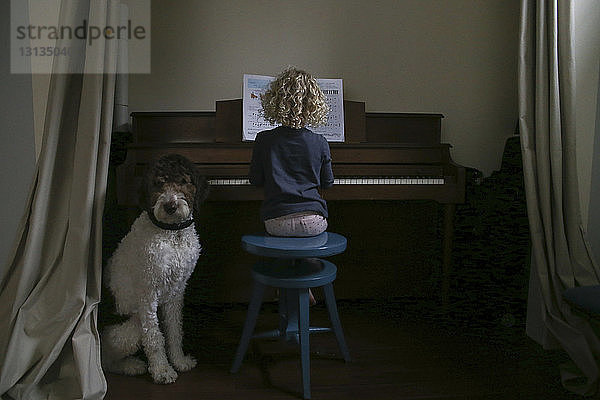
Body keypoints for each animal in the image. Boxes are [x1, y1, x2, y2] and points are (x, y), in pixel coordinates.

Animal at [105, 154, 211, 384]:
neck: (172, 234)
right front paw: (162, 370)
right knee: (104, 357)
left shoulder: (176, 291)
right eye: (158, 183)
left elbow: (174, 331)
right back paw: (131, 365)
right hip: (131, 327)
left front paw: (179, 361)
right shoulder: (148, 294)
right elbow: (155, 337)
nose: (170, 206)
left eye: (183, 180)